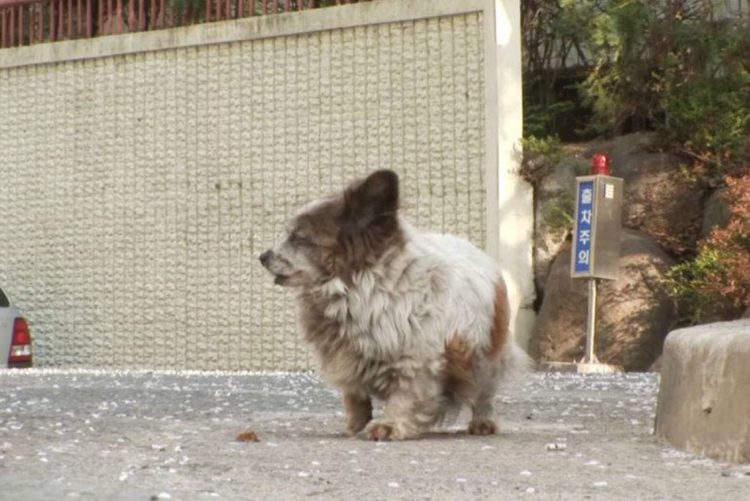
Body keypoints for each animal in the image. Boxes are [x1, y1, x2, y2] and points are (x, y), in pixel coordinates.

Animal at [262, 170, 532, 440]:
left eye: (299, 238)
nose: (262, 256)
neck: (357, 289)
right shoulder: (346, 357)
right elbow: (355, 396)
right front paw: (355, 424)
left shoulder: (416, 362)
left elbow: (405, 395)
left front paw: (389, 425)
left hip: (486, 356)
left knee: (484, 391)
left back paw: (482, 422)